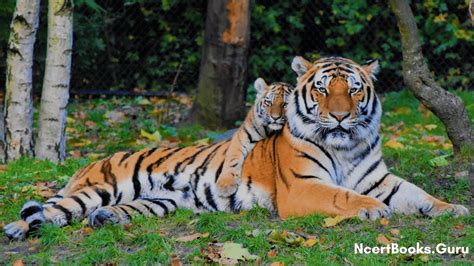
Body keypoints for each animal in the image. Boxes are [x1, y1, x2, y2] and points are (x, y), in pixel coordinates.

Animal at [3, 56, 468, 239]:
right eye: (322, 89)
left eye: (353, 90)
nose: (338, 117)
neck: (346, 146)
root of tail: (93, 162)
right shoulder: (302, 186)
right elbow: (343, 196)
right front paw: (372, 210)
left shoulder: (379, 178)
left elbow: (418, 194)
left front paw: (454, 209)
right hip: (99, 187)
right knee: (52, 210)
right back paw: (16, 229)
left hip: (159, 202)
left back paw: (105, 220)